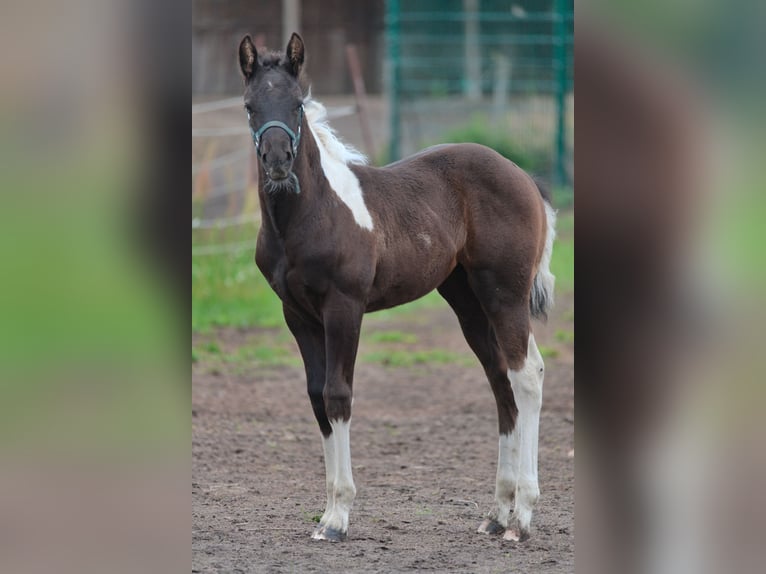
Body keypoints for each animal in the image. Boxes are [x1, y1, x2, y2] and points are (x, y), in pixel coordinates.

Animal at [240, 33, 560, 548]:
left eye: (296, 105)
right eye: (251, 106)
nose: (276, 162)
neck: (311, 213)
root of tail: (524, 177)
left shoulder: (344, 308)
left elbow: (338, 394)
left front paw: (338, 518)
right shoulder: (298, 316)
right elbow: (316, 396)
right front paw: (325, 514)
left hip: (505, 296)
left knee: (526, 375)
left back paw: (522, 518)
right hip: (468, 303)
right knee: (501, 381)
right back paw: (497, 514)